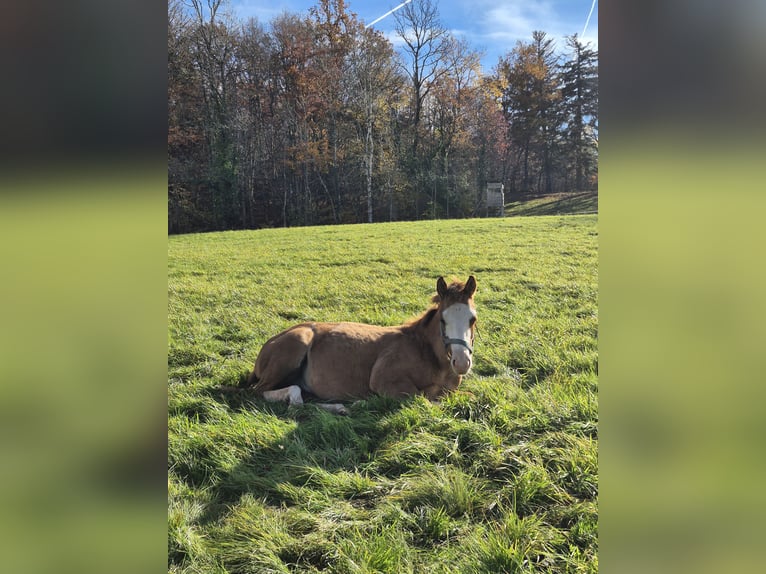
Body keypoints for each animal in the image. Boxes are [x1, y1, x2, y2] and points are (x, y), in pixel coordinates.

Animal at [244, 276, 477, 414]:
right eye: (443, 320)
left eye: (472, 319)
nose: (462, 362)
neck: (428, 354)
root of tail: (267, 345)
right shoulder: (385, 381)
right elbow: (425, 400)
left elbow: (468, 398)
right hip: (295, 347)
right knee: (262, 391)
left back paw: (340, 407)